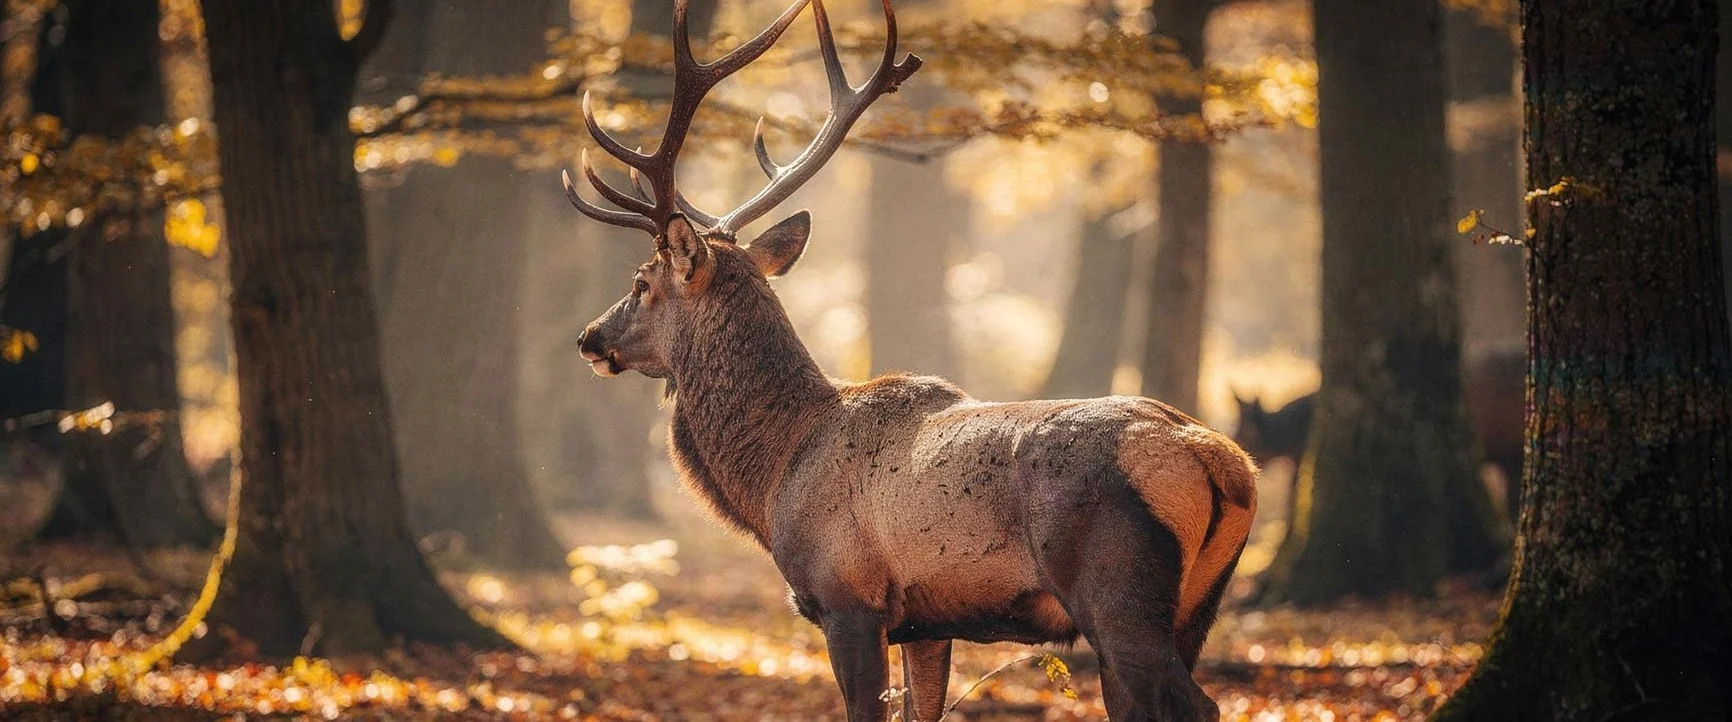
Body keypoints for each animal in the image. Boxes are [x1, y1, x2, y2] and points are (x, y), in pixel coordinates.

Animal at [562, 1, 1257, 719]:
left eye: (642, 281)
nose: (589, 337)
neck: (775, 474)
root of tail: (1225, 466)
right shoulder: (926, 623)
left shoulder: (848, 598)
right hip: (1198, 605)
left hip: (1117, 591)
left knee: (1195, 702)